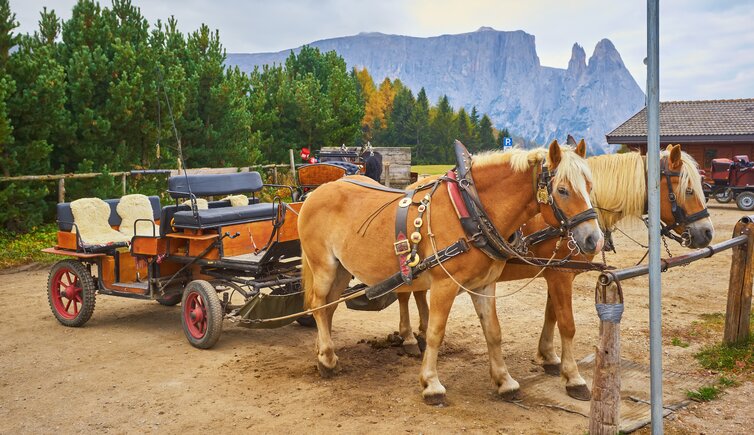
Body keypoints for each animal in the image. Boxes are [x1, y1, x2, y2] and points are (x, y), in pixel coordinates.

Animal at [296, 141, 604, 406]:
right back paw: (327, 358)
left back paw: (324, 350)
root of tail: (316, 192)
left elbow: (494, 332)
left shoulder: (485, 285)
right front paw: (431, 384)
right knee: (318, 304)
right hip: (323, 266)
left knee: (328, 307)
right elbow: (435, 332)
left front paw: (505, 381)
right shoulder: (445, 284)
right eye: (562, 190)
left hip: (341, 270)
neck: (471, 210)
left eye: (590, 185)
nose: (594, 239)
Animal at [394, 143, 712, 402]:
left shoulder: (556, 271)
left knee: (416, 295)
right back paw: (409, 337)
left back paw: (419, 332)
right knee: (404, 296)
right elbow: (567, 323)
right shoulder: (559, 275)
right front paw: (573, 377)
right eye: (688, 190)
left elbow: (552, 315)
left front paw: (548, 356)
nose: (707, 232)